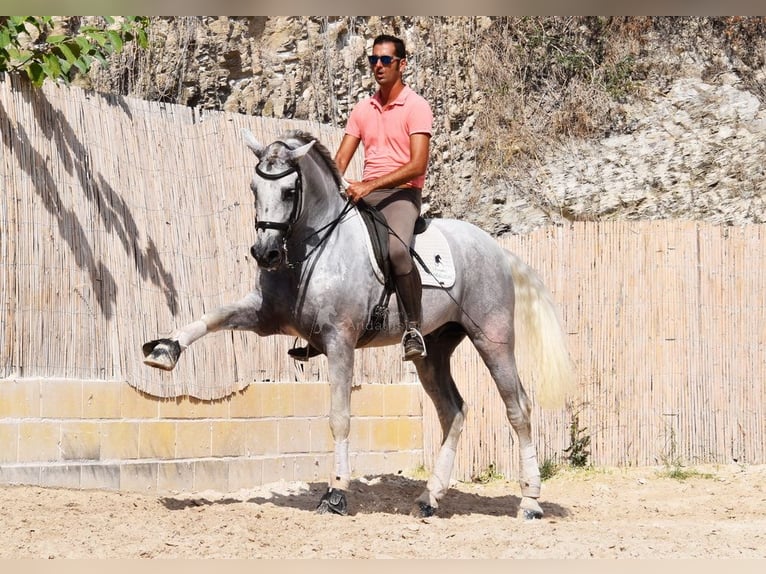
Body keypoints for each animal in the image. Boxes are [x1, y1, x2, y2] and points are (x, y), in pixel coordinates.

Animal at [142, 129, 576, 519]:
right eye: (254, 188)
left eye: (289, 192)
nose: (264, 253)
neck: (309, 250)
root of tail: (498, 249)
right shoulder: (263, 315)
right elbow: (212, 316)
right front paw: (165, 350)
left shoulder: (340, 340)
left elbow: (339, 417)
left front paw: (335, 494)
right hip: (432, 351)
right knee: (452, 412)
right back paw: (429, 498)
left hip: (492, 338)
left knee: (518, 408)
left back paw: (530, 501)